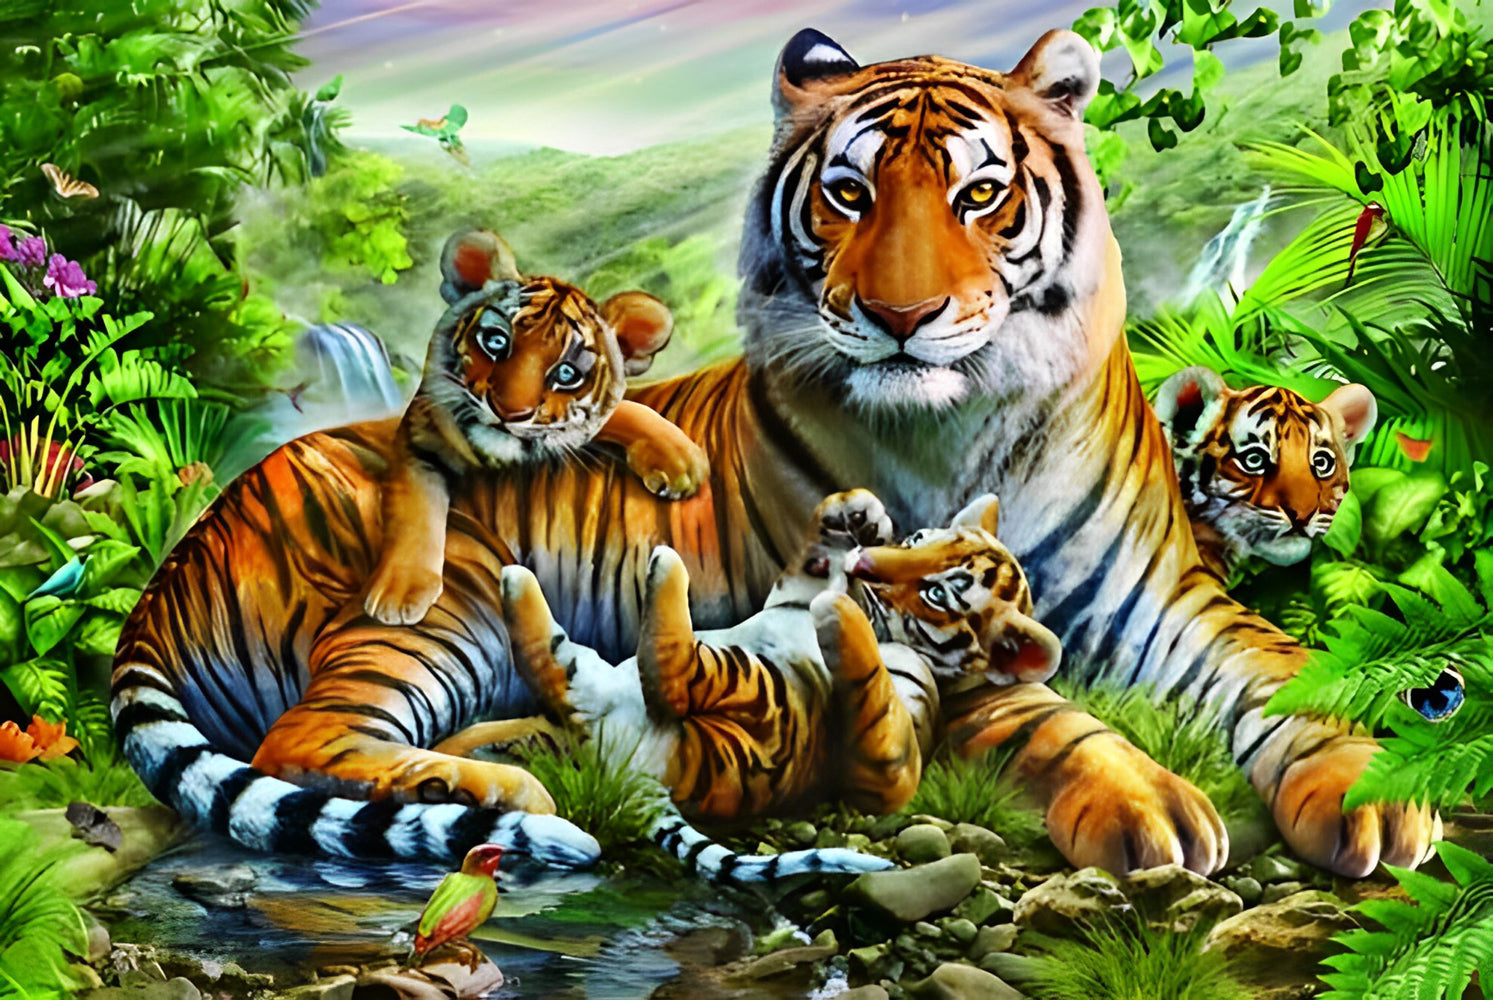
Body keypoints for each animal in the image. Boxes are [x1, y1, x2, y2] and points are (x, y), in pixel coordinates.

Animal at [364, 229, 708, 625]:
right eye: (496, 342)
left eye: (566, 374)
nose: (508, 411)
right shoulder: (418, 437)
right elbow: (415, 510)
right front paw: (399, 591)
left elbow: (626, 411)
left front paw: (681, 460)